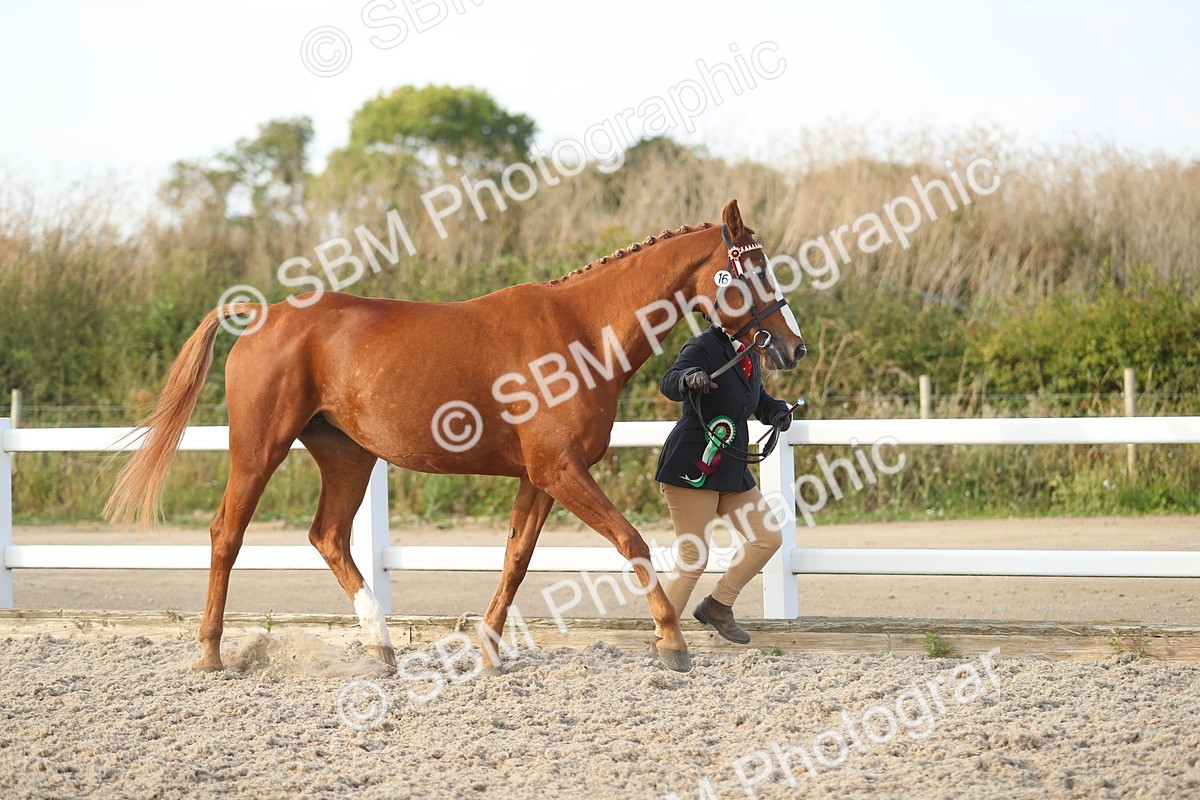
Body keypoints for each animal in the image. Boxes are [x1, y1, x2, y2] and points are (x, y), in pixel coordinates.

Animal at [103, 199, 807, 674]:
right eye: (756, 269)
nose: (791, 347)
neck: (579, 331)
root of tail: (261, 315)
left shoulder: (540, 478)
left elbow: (516, 559)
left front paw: (491, 649)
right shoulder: (560, 472)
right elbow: (631, 541)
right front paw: (672, 642)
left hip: (349, 458)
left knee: (328, 538)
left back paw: (381, 647)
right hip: (258, 450)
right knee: (227, 535)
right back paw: (210, 653)